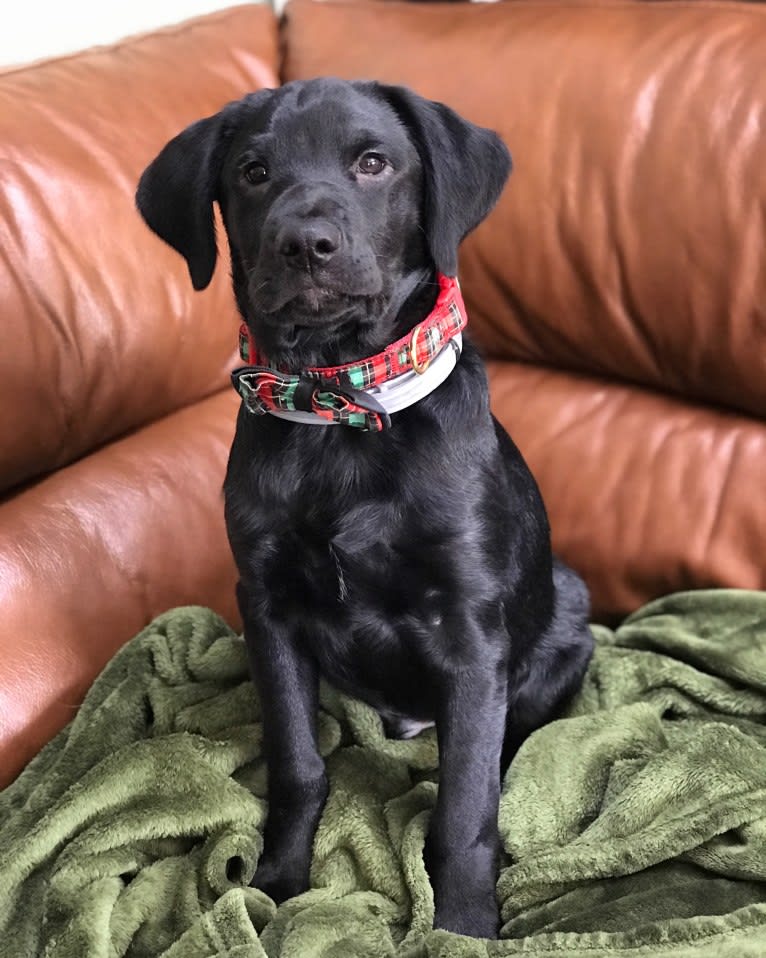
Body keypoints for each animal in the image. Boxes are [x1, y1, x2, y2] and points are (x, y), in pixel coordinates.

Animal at [136, 79, 592, 940]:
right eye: (252, 171)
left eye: (374, 162)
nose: (305, 244)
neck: (340, 408)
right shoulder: (267, 607)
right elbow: (298, 763)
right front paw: (276, 883)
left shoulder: (469, 629)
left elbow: (465, 809)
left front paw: (463, 929)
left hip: (564, 614)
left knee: (507, 741)